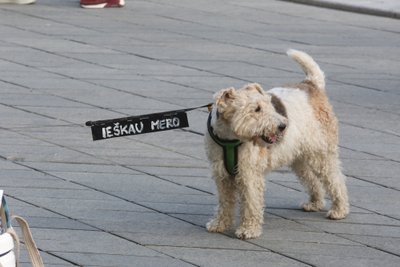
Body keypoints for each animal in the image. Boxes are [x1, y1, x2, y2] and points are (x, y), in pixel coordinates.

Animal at [205, 49, 348, 240]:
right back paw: (314, 203)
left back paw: (339, 210)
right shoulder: (222, 174)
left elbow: (251, 204)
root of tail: (311, 85)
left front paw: (248, 230)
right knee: (313, 181)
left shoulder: (249, 174)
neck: (230, 138)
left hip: (320, 154)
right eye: (256, 109)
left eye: (268, 105)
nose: (282, 125)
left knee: (336, 180)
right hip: (299, 158)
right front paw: (219, 224)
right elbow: (225, 202)